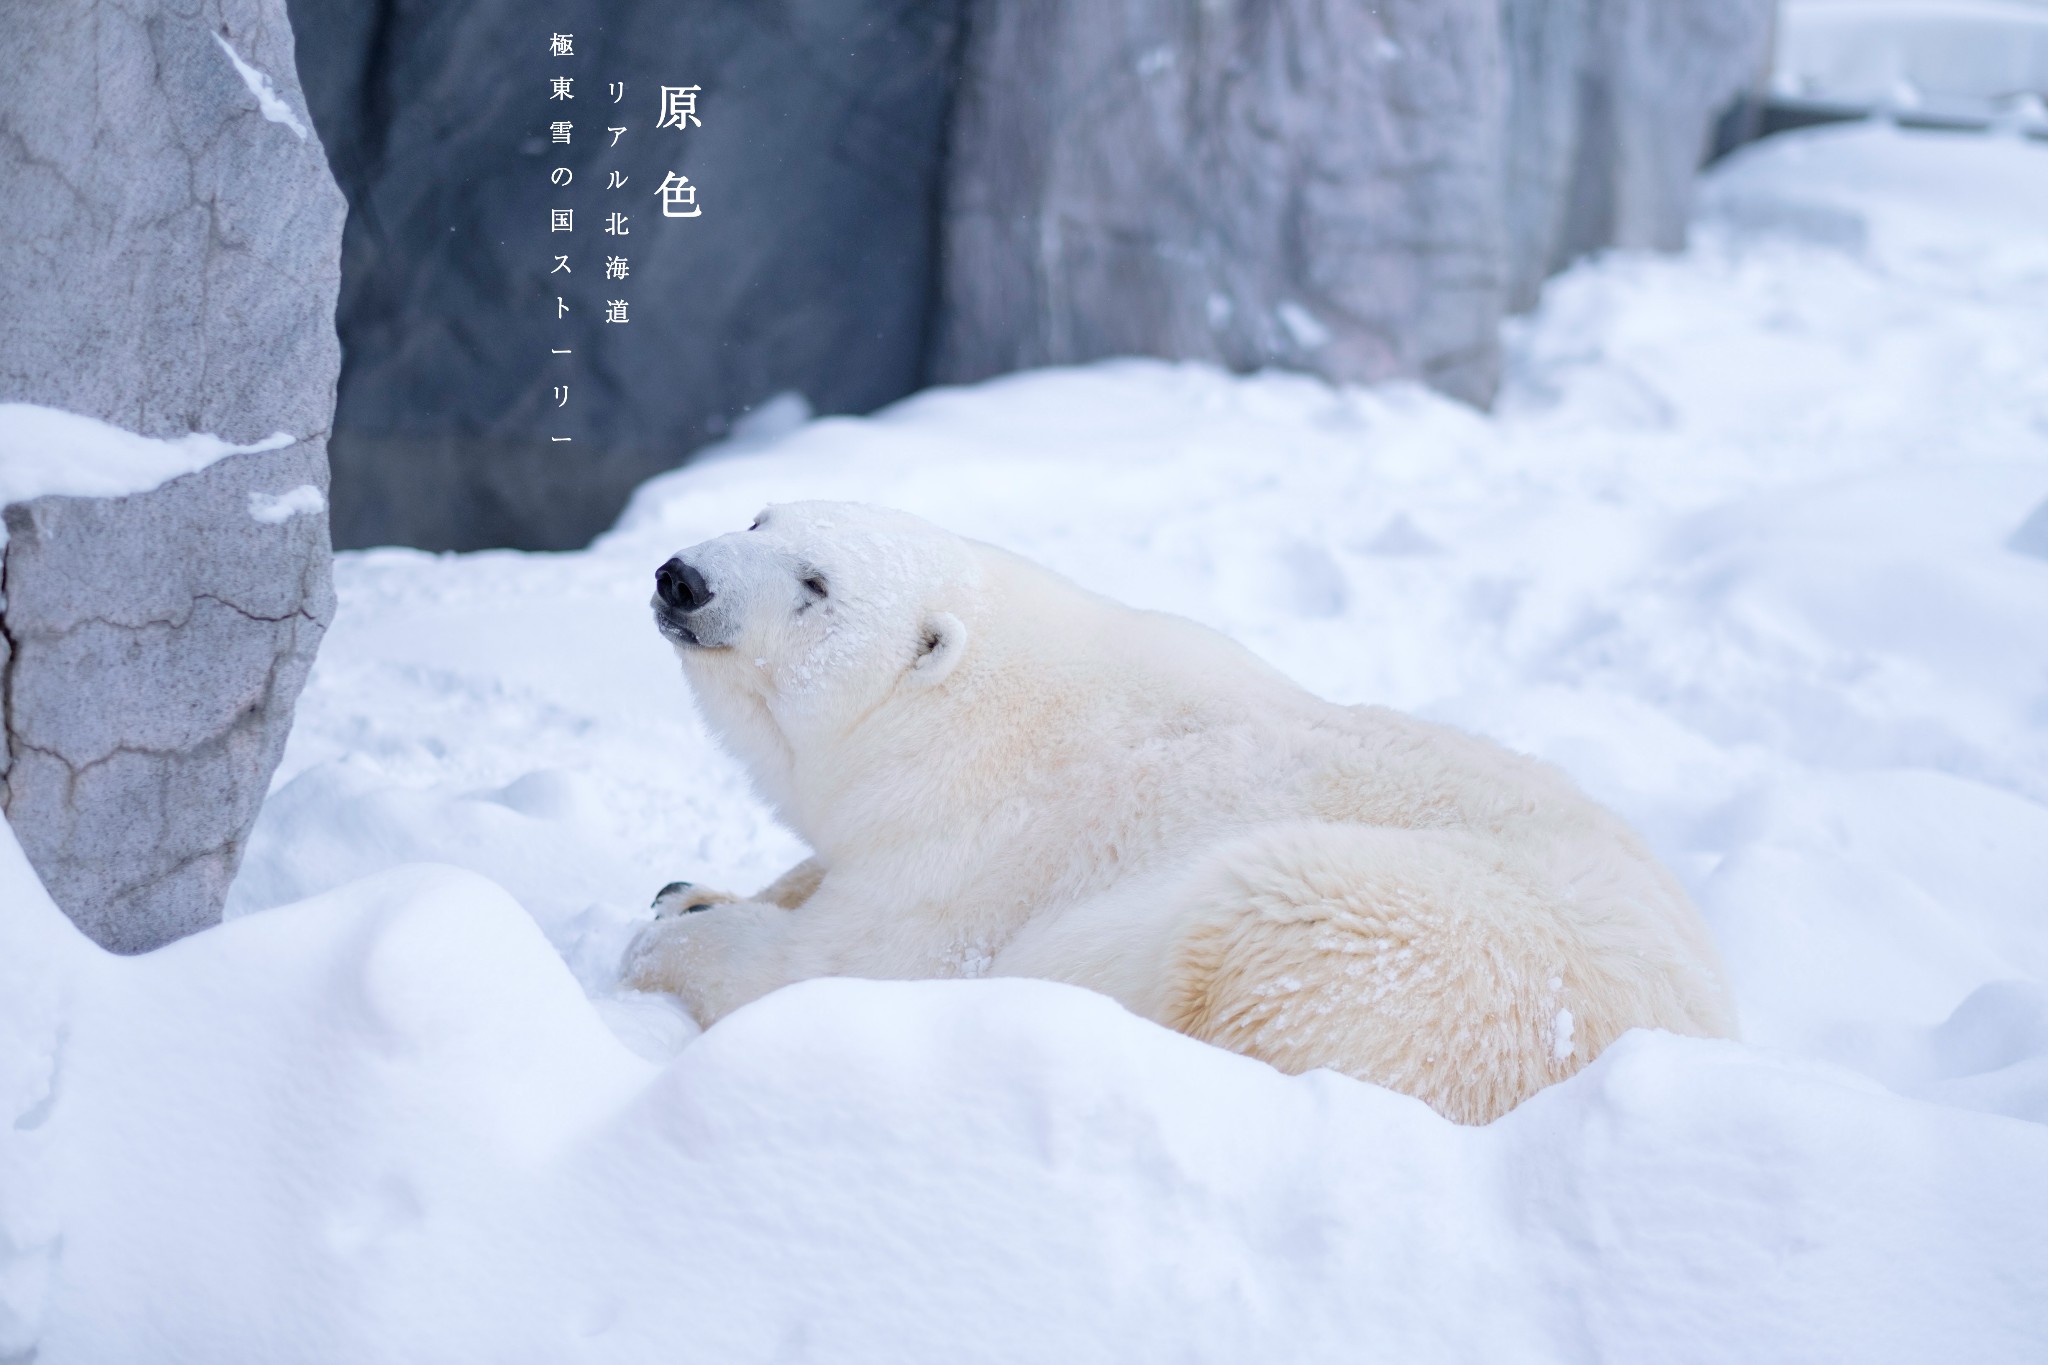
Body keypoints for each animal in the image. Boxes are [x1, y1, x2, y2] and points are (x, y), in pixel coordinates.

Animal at [618, 501, 1728, 1121]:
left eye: (814, 584)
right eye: (760, 523)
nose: (683, 576)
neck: (977, 714)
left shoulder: (979, 850)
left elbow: (840, 971)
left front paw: (666, 940)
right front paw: (691, 888)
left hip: (1410, 945)